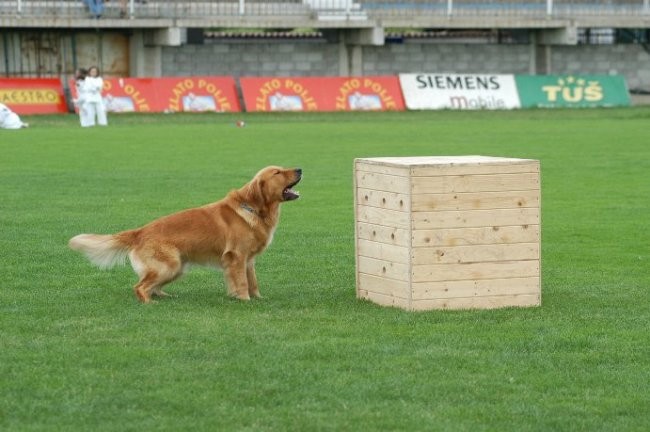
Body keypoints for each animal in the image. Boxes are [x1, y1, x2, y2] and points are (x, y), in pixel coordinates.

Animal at [69, 166, 302, 304]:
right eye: (278, 173)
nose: (300, 169)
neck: (253, 208)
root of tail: (140, 231)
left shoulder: (248, 260)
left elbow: (252, 281)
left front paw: (257, 298)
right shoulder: (236, 257)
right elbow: (242, 282)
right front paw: (245, 300)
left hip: (177, 267)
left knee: (152, 286)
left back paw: (164, 295)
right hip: (169, 265)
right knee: (140, 286)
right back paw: (149, 302)